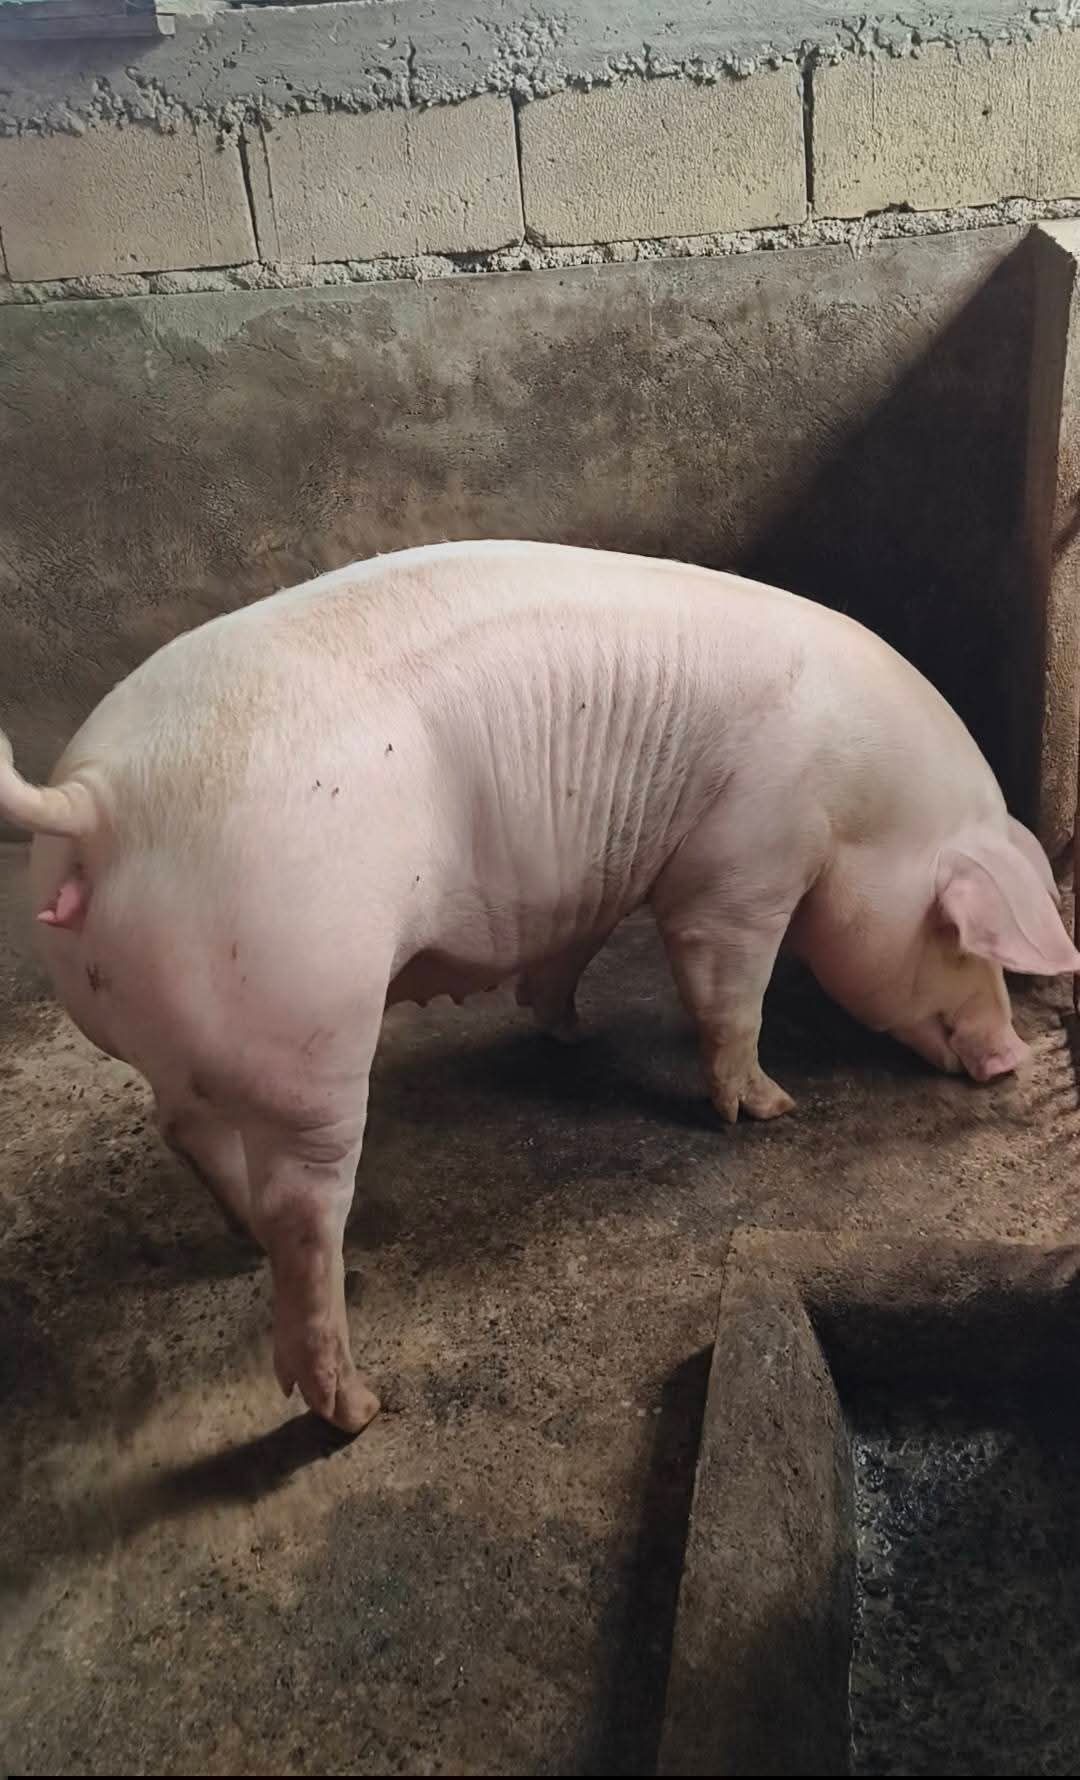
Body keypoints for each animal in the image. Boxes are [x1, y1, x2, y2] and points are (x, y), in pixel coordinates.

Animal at [2, 541, 1077, 1433]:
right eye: (959, 935)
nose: (1011, 1056)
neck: (864, 808)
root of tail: (94, 798)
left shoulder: (606, 879)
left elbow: (575, 949)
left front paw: (565, 1031)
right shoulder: (746, 856)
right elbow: (727, 982)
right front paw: (770, 1110)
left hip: (197, 1029)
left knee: (187, 1127)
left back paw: (237, 1242)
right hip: (305, 1016)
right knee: (302, 1211)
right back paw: (356, 1410)